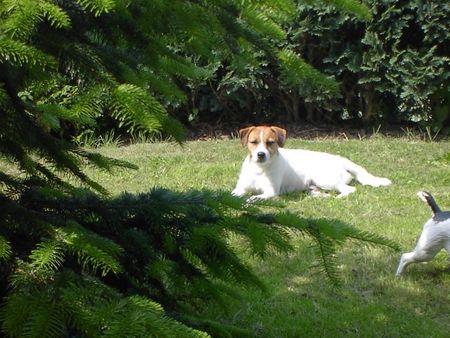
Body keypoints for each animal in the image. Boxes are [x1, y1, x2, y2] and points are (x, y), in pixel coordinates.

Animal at [232, 127, 390, 201]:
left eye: (270, 142)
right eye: (253, 142)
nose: (260, 154)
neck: (259, 169)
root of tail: (339, 159)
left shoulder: (271, 192)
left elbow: (253, 198)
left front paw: (249, 201)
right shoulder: (239, 189)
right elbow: (233, 195)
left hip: (325, 179)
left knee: (349, 190)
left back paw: (338, 198)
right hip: (316, 184)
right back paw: (318, 196)